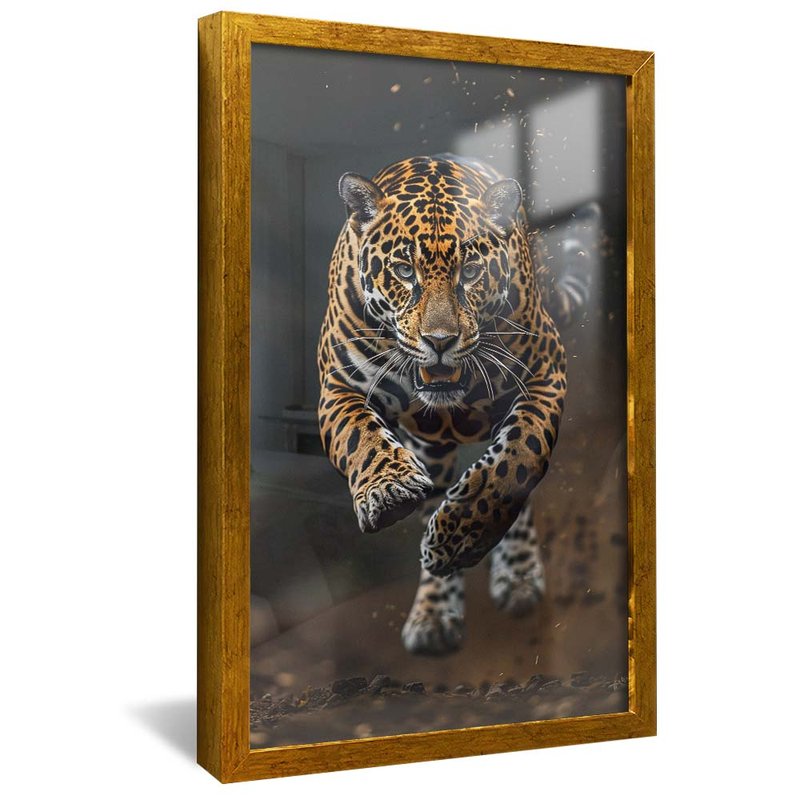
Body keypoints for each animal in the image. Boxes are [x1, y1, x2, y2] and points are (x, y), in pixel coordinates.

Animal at [317, 154, 568, 655]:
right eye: (403, 271)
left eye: (469, 273)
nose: (439, 341)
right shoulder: (337, 385)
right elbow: (360, 437)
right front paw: (389, 491)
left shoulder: (546, 373)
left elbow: (514, 461)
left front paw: (461, 538)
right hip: (430, 450)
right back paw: (433, 613)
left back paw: (515, 573)